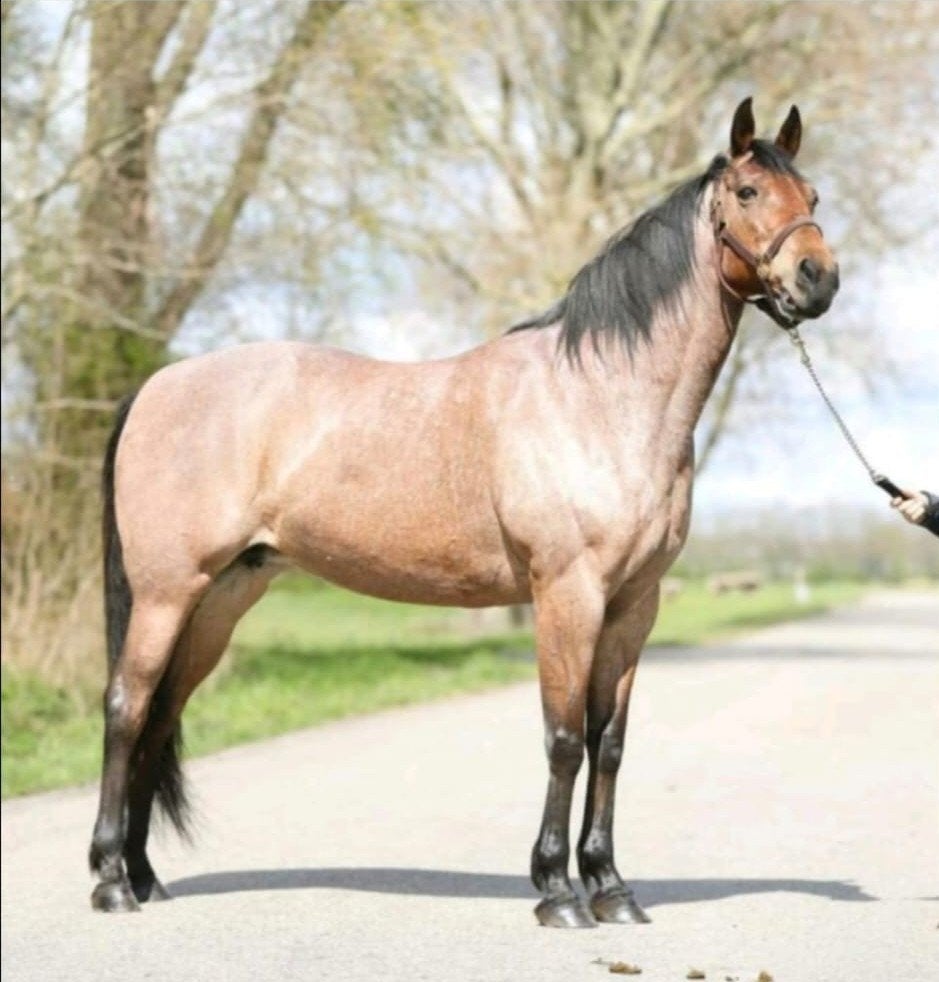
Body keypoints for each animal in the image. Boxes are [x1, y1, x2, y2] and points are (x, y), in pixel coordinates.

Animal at [88, 98, 838, 927]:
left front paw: (610, 888)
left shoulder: (633, 606)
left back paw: (145, 876)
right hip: (166, 591)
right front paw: (557, 892)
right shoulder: (567, 594)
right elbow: (562, 737)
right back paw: (111, 881)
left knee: (159, 717)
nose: (816, 279)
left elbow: (608, 743)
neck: (602, 398)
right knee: (126, 708)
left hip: (219, 599)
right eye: (746, 191)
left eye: (812, 196)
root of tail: (158, 386)